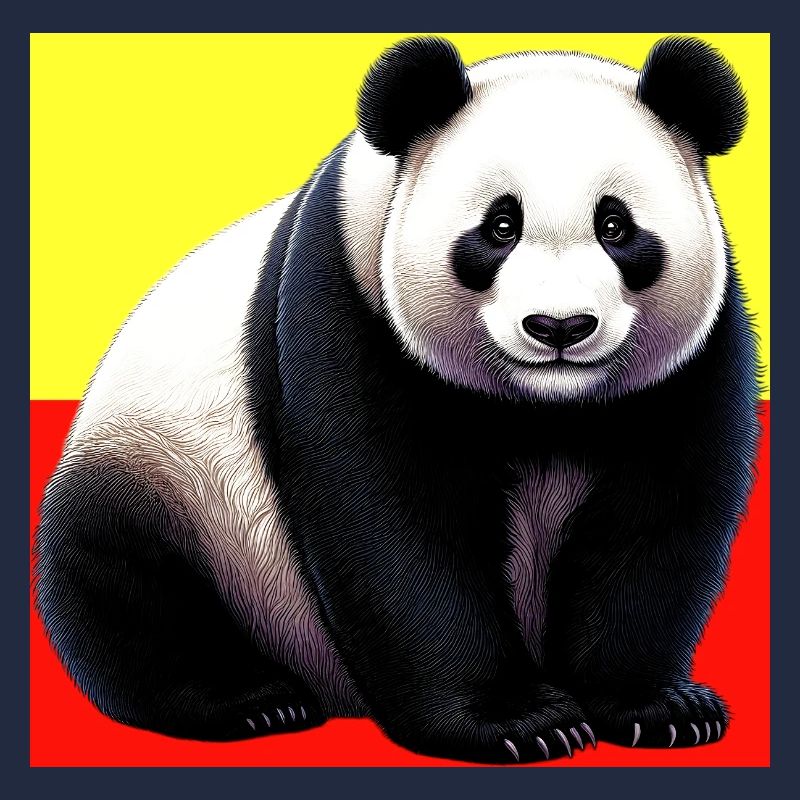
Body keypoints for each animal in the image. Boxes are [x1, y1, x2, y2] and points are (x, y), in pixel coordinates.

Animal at [34, 36, 759, 764]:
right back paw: (253, 701)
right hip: (165, 468)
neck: (543, 406)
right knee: (124, 583)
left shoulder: (690, 363)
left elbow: (658, 519)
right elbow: (394, 525)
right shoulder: (346, 307)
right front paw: (517, 721)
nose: (559, 327)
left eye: (615, 225)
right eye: (500, 226)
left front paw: (658, 708)